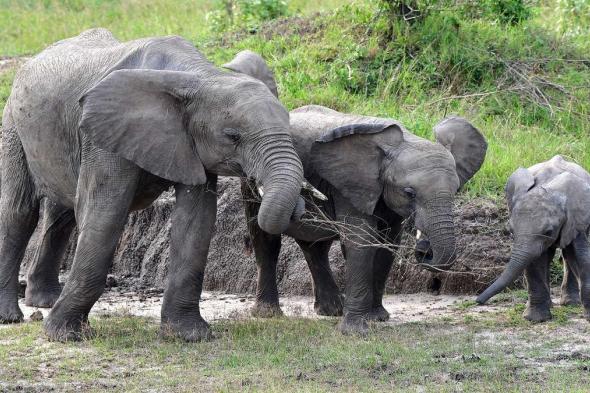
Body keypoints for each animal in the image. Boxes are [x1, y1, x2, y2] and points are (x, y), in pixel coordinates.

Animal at [0, 29, 306, 342]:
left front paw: (189, 335)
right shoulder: (104, 135)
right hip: (13, 124)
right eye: (233, 136)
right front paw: (65, 335)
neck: (199, 76)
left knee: (62, 213)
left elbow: (196, 222)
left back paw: (44, 301)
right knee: (20, 213)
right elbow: (106, 216)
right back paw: (12, 316)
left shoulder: (190, 143)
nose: (300, 205)